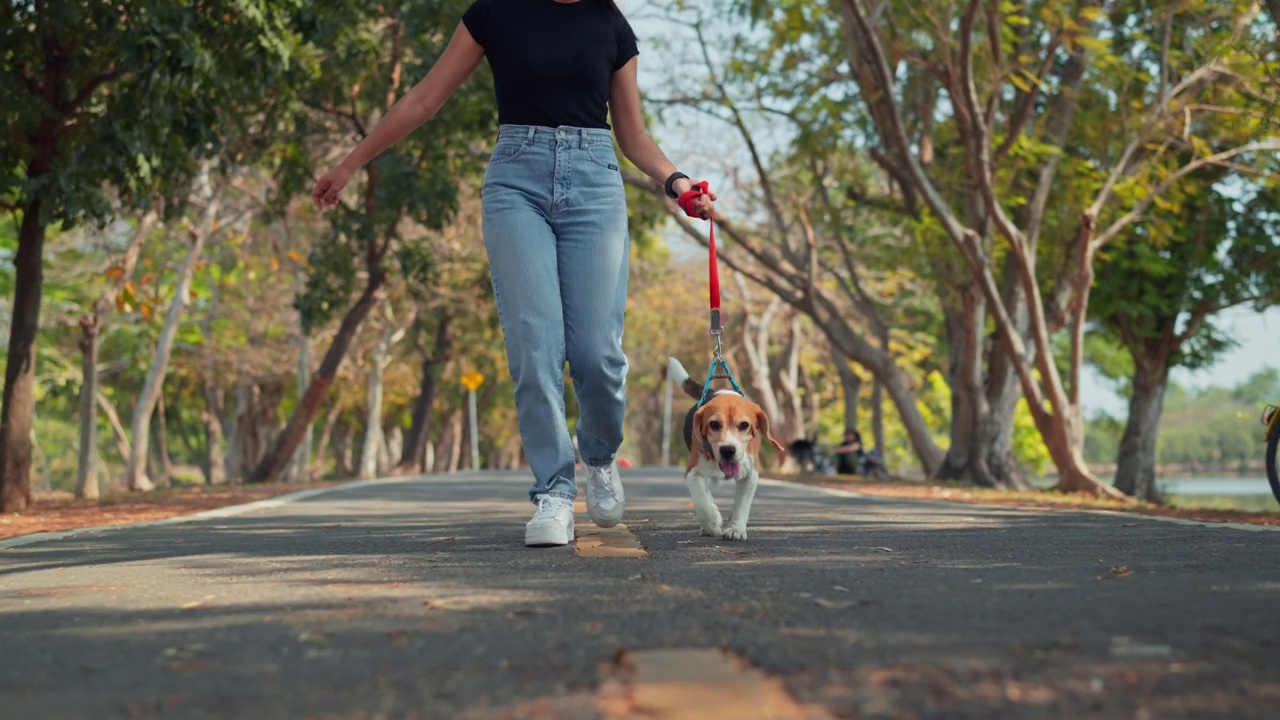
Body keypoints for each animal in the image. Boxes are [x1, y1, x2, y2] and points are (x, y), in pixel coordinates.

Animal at [665, 356, 783, 535]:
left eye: (744, 425)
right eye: (714, 424)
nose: (728, 450)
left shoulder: (750, 475)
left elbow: (742, 505)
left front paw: (736, 529)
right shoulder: (692, 473)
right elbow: (702, 501)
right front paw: (712, 522)